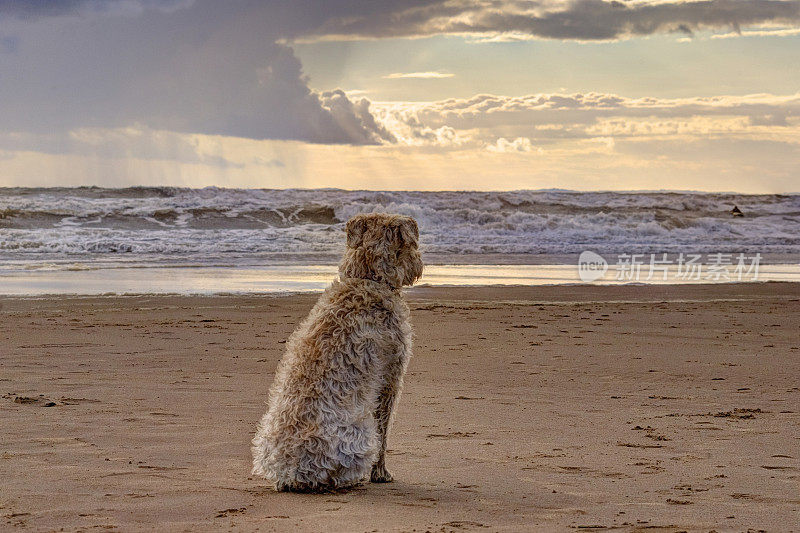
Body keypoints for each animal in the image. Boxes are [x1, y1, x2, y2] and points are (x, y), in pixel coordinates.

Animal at [252, 211, 424, 490]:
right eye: (409, 246)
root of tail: (291, 473)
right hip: (359, 436)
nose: (419, 265)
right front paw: (381, 473)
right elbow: (384, 430)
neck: (368, 278)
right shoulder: (391, 376)